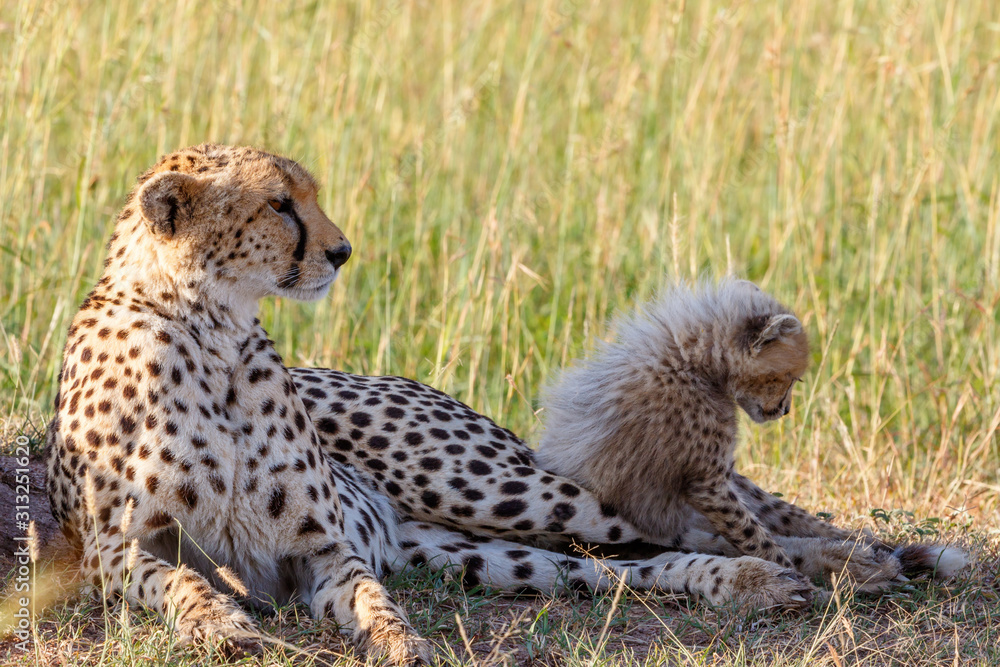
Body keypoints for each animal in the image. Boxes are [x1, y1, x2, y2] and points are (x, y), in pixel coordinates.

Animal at [45, 144, 814, 666]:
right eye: (278, 204)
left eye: (307, 195)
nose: (342, 251)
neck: (212, 333)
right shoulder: (113, 550)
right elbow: (180, 581)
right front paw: (221, 623)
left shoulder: (323, 548)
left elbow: (372, 599)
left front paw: (399, 640)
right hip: (457, 547)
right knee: (614, 568)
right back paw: (755, 580)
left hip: (489, 488)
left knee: (677, 521)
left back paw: (816, 564)